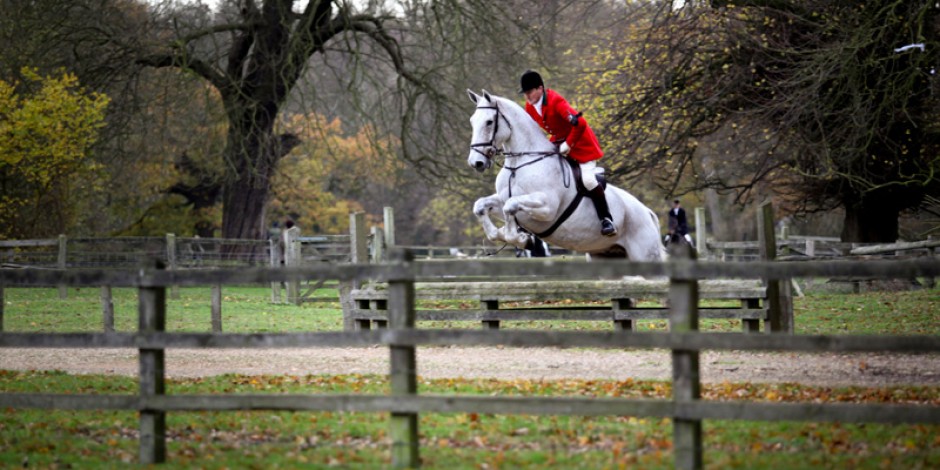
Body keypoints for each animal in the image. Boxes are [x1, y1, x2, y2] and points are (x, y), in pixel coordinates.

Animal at [466, 89, 664, 260]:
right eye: (472, 121)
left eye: (489, 122)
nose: (476, 163)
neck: (519, 164)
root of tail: (648, 213)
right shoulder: (504, 200)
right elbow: (481, 206)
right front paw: (505, 234)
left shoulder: (547, 208)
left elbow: (510, 205)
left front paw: (522, 239)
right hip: (604, 255)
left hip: (645, 255)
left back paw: (608, 225)